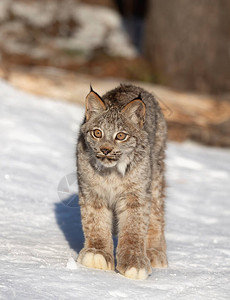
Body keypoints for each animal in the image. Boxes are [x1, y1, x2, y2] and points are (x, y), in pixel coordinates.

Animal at [76, 84, 168, 278]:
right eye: (97, 133)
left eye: (120, 136)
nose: (105, 150)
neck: (111, 172)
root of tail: (133, 85)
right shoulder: (91, 191)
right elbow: (95, 222)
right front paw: (97, 253)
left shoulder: (136, 195)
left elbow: (134, 228)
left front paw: (135, 262)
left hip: (155, 177)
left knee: (157, 213)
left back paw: (154, 252)